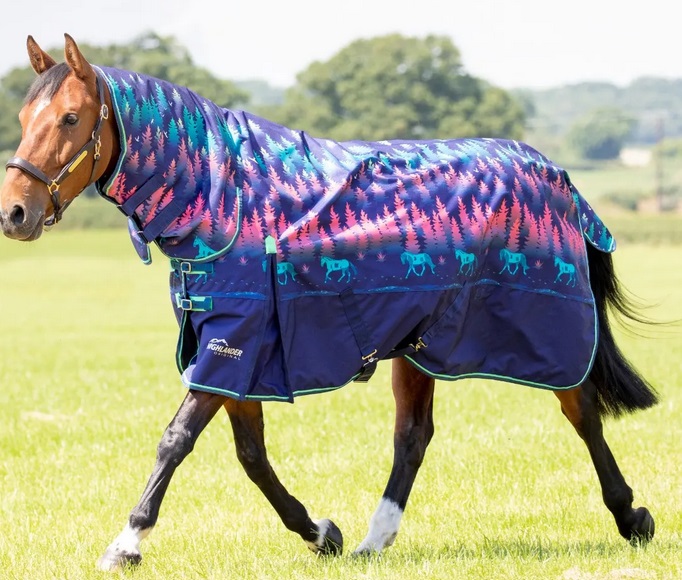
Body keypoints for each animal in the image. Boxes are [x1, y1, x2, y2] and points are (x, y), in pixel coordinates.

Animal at [0, 35, 658, 572]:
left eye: (70, 117)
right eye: (24, 115)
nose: (15, 212)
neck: (223, 202)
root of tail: (556, 174)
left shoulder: (233, 343)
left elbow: (176, 440)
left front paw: (127, 542)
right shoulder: (235, 349)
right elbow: (251, 455)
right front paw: (321, 533)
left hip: (548, 335)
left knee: (582, 413)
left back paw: (632, 517)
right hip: (419, 345)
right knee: (413, 436)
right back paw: (373, 539)